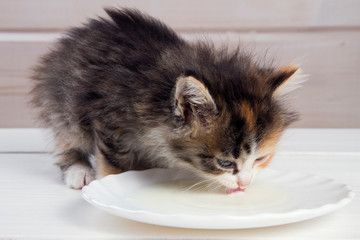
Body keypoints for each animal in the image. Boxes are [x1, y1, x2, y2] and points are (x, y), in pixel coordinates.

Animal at [30, 7, 300, 191]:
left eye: (261, 158)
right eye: (225, 163)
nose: (244, 184)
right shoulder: (110, 119)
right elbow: (113, 162)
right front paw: (111, 183)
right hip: (63, 106)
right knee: (67, 138)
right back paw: (78, 171)